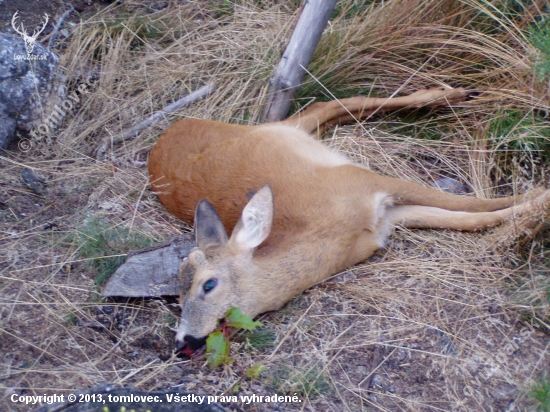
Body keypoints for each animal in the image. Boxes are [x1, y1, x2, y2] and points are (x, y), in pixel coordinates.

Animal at [148, 87, 550, 350]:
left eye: (208, 284)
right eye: (177, 296)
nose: (182, 342)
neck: (329, 232)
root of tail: (165, 134)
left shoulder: (366, 181)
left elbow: (470, 205)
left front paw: (539, 197)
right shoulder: (387, 220)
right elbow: (470, 218)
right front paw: (530, 210)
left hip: (271, 133)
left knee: (330, 105)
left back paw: (459, 95)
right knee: (331, 110)